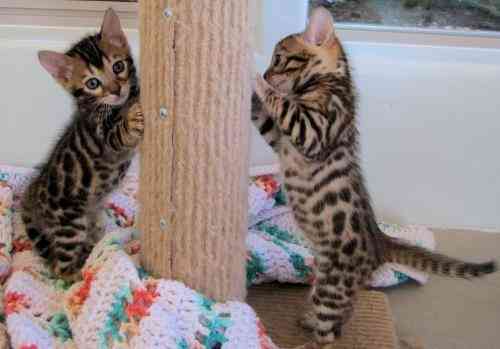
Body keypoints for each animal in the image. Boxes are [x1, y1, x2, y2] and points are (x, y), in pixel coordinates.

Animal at [21, 8, 143, 280]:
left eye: (118, 66)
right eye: (92, 83)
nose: (116, 90)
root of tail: (32, 194)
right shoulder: (103, 139)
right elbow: (119, 133)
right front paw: (132, 117)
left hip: (89, 216)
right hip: (70, 223)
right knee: (59, 267)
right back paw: (82, 276)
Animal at [254, 6, 496, 346]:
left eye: (279, 59)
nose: (265, 74)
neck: (332, 80)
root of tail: (380, 242)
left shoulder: (313, 132)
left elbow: (282, 103)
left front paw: (253, 79)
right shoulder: (280, 139)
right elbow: (264, 115)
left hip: (332, 287)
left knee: (330, 335)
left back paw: (307, 341)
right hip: (327, 280)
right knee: (344, 314)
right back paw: (309, 320)